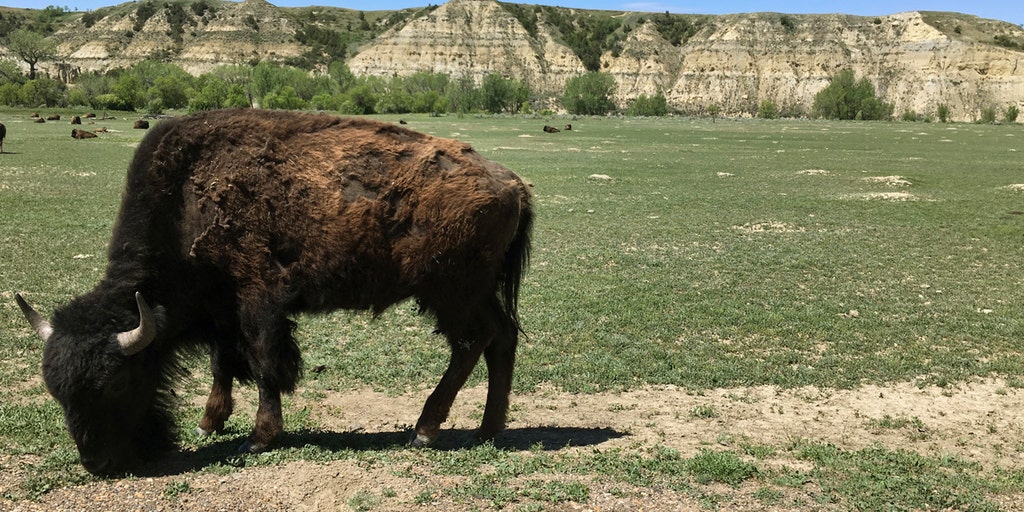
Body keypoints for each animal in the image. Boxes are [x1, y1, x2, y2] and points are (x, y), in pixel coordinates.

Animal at [17, 108, 533, 475]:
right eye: (56, 392)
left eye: (119, 382)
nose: (97, 463)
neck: (185, 201)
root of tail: (514, 184)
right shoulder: (222, 309)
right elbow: (224, 363)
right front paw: (209, 422)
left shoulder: (257, 299)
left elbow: (265, 363)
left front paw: (259, 437)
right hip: (474, 292)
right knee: (501, 338)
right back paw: (487, 431)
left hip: (450, 293)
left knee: (472, 343)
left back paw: (426, 430)